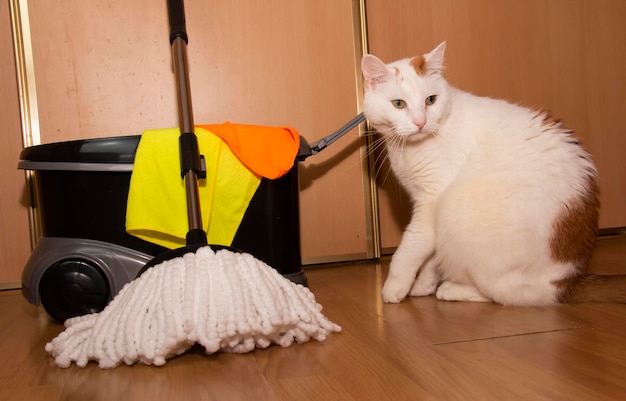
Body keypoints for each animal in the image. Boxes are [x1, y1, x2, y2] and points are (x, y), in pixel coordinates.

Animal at [360, 42, 624, 304]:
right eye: (398, 104)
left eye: (431, 100)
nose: (420, 122)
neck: (410, 148)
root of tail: (569, 280)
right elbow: (431, 257)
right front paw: (423, 284)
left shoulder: (431, 203)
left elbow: (409, 249)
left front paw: (395, 287)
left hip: (455, 210)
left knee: (502, 294)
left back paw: (453, 289)